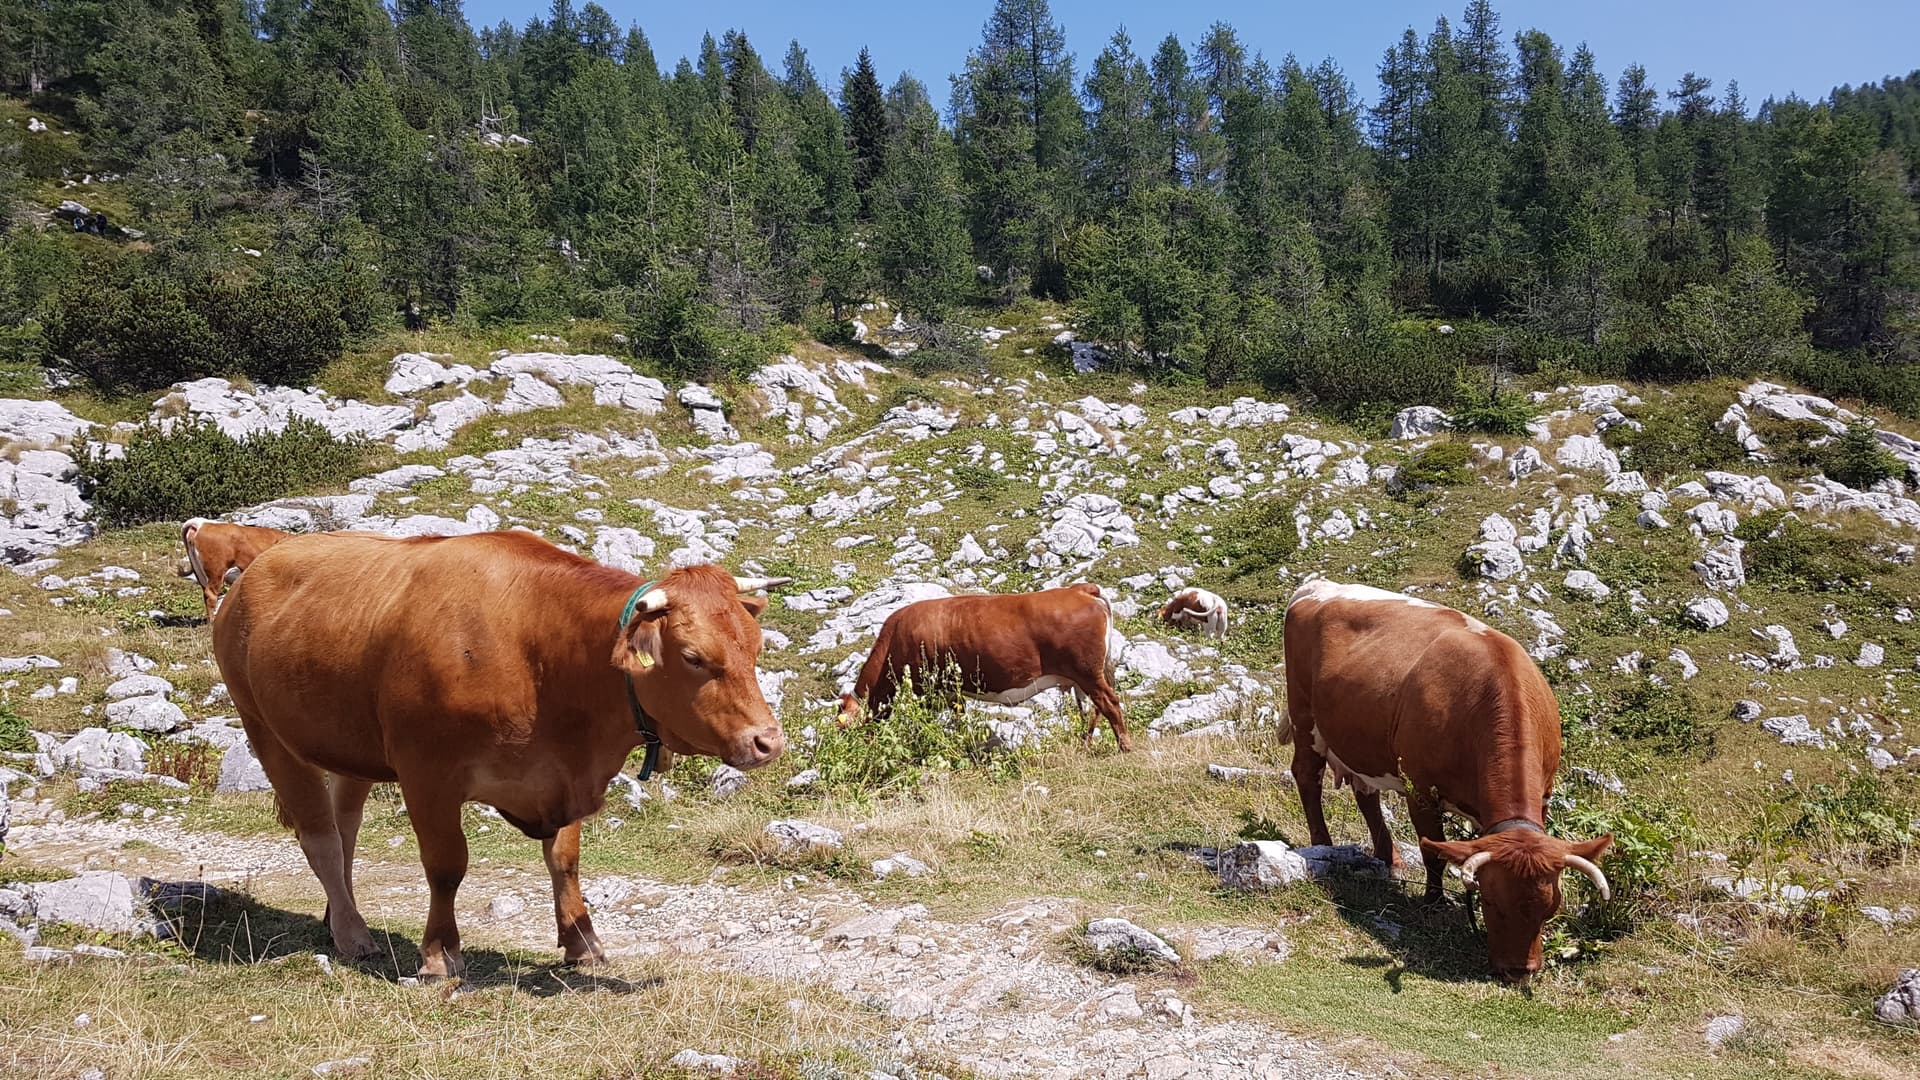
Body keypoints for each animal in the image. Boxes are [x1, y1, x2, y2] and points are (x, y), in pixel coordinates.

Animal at [212, 529, 789, 980]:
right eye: (693, 657)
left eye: (756, 646)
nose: (768, 741)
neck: (541, 656)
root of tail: (254, 569)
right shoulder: (427, 775)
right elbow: (446, 865)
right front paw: (440, 954)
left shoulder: (560, 774)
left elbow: (564, 860)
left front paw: (582, 941)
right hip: (265, 730)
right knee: (322, 839)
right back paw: (354, 934)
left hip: (350, 747)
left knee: (345, 827)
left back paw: (338, 918)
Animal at [836, 584, 1131, 751]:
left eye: (843, 730)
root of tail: (1078, 589)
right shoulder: (948, 692)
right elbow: (957, 720)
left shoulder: (932, 690)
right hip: (1085, 677)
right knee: (1092, 710)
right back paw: (1085, 745)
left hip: (1088, 673)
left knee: (1110, 704)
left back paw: (1124, 747)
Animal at [1281, 578, 1612, 984]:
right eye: (1490, 902)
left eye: (1551, 907)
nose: (1519, 971)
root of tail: (1319, 584)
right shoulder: (1420, 789)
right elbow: (1433, 852)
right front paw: (1434, 904)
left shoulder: (1544, 795)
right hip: (1304, 715)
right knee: (1306, 776)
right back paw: (1323, 846)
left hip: (1361, 740)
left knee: (1365, 792)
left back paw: (1389, 859)